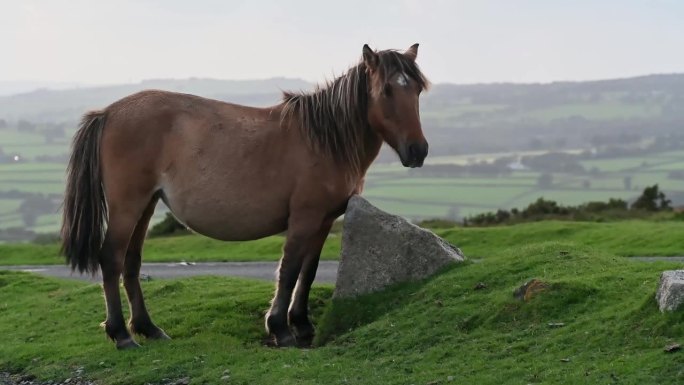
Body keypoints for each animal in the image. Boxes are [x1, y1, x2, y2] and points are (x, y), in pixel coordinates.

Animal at [61, 44, 430, 348]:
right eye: (386, 90)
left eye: (417, 89)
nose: (418, 151)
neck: (325, 140)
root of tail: (108, 113)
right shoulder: (304, 218)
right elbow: (289, 269)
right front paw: (281, 328)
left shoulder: (324, 220)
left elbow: (308, 271)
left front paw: (302, 324)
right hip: (128, 205)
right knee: (111, 258)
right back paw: (122, 335)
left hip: (146, 205)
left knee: (131, 262)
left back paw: (148, 329)